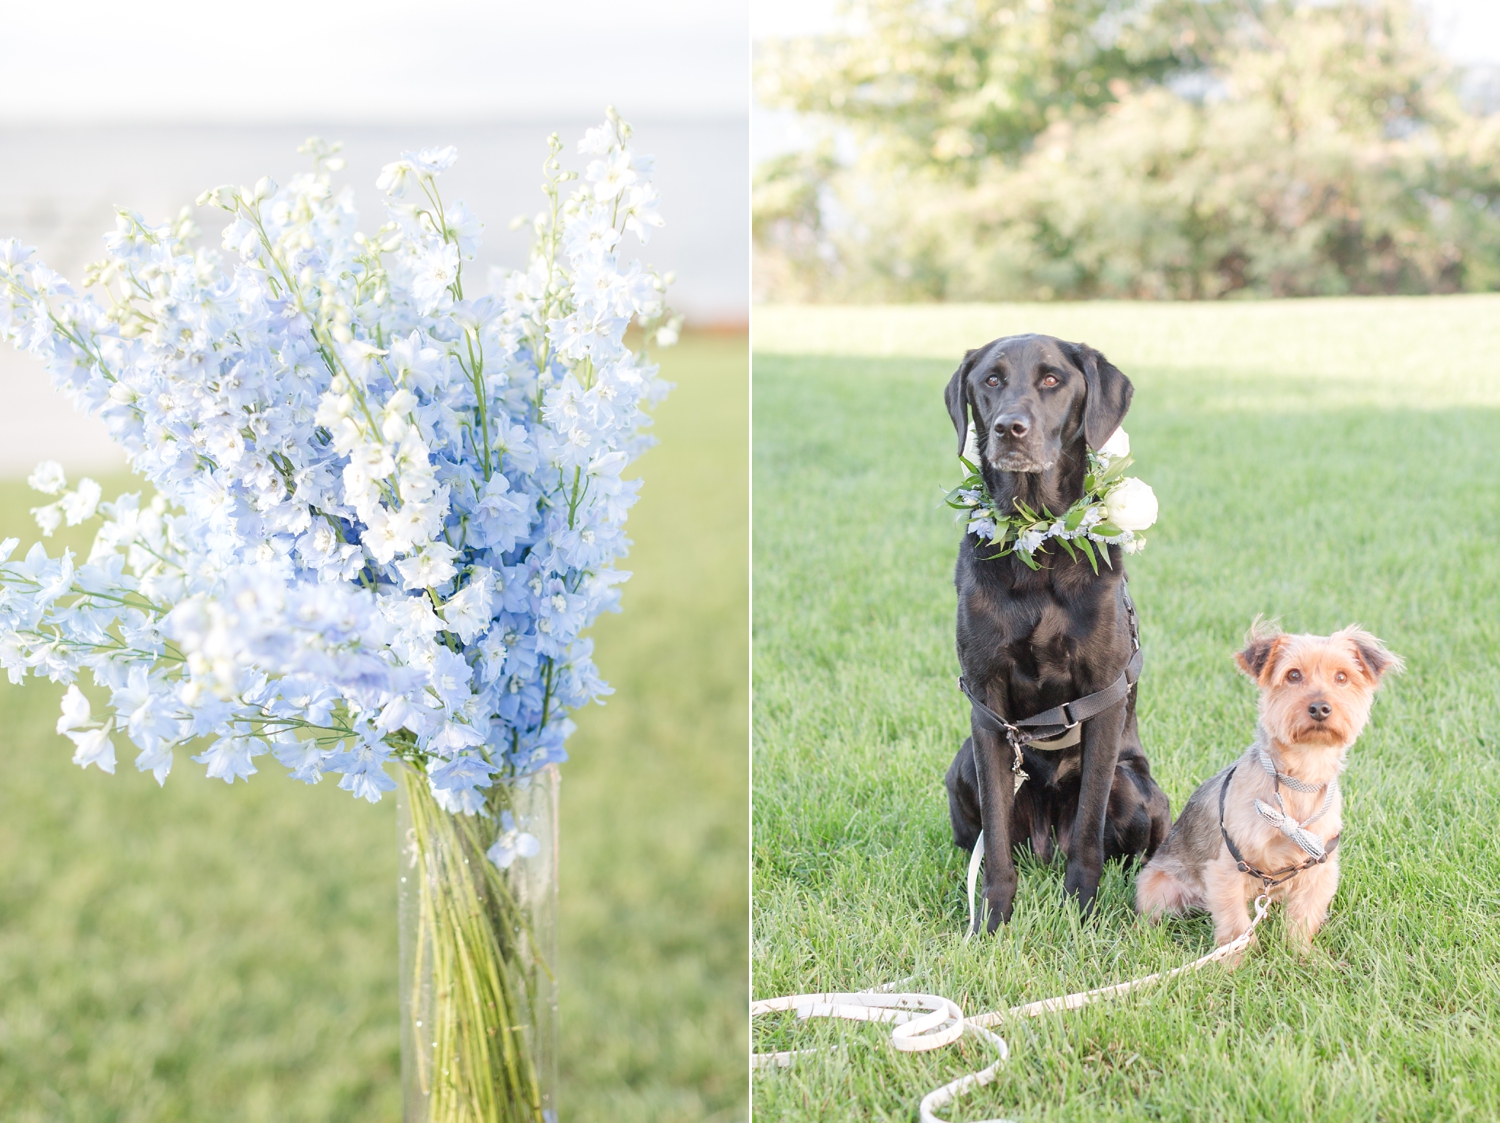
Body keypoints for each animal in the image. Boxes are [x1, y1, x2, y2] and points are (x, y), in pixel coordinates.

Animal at [936, 332, 1170, 929]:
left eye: (1051, 379)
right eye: (991, 380)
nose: (1009, 428)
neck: (1037, 546)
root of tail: (1045, 843)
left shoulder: (1104, 695)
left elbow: (1088, 828)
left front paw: (1081, 915)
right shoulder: (988, 707)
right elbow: (995, 840)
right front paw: (991, 922)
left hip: (1136, 786)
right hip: (962, 766)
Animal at [1134, 620, 1404, 947]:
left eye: (1342, 677)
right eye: (1293, 675)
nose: (1320, 708)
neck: (1299, 779)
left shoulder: (1319, 870)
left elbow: (1302, 920)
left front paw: (1300, 953)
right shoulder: (1228, 868)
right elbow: (1235, 926)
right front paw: (1233, 958)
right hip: (1158, 886)